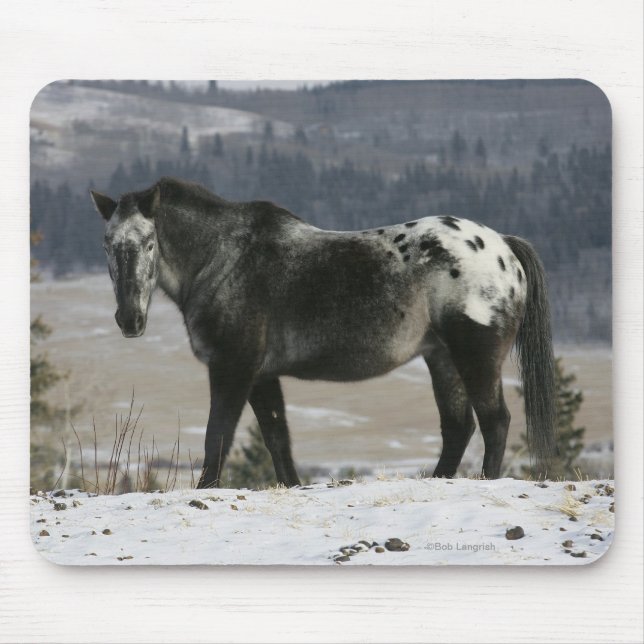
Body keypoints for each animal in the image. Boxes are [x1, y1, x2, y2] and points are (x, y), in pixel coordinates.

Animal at [90, 176, 556, 488]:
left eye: (149, 243)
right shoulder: (261, 375)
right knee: (458, 427)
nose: (129, 319)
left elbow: (217, 436)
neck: (224, 257)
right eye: (107, 244)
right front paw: (292, 486)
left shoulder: (232, 368)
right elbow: (277, 437)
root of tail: (503, 247)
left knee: (494, 420)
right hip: (441, 357)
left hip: (475, 354)